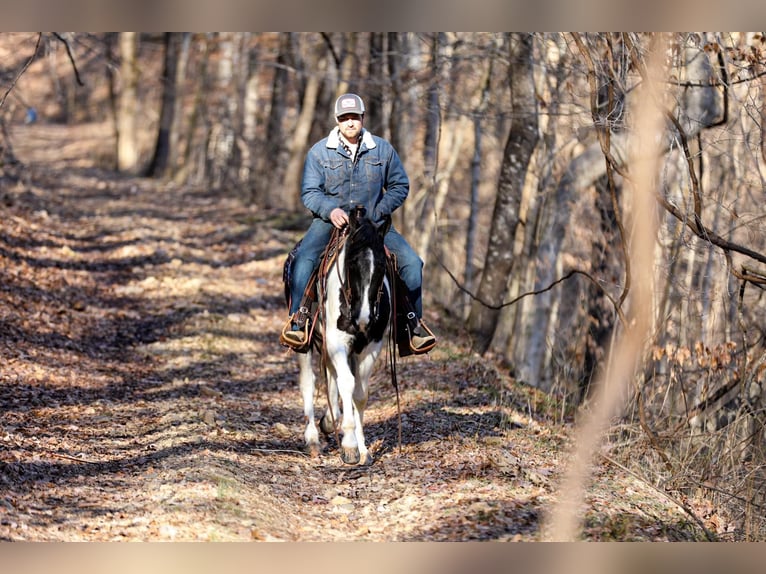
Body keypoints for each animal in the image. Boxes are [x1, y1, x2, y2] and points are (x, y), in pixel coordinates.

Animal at [292, 207, 392, 468]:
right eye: (353, 263)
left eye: (381, 265)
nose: (364, 317)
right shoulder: (337, 342)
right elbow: (347, 383)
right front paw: (349, 446)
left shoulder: (370, 347)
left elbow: (359, 393)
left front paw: (363, 450)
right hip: (307, 344)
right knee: (309, 382)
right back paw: (313, 440)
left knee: (332, 379)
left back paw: (329, 421)